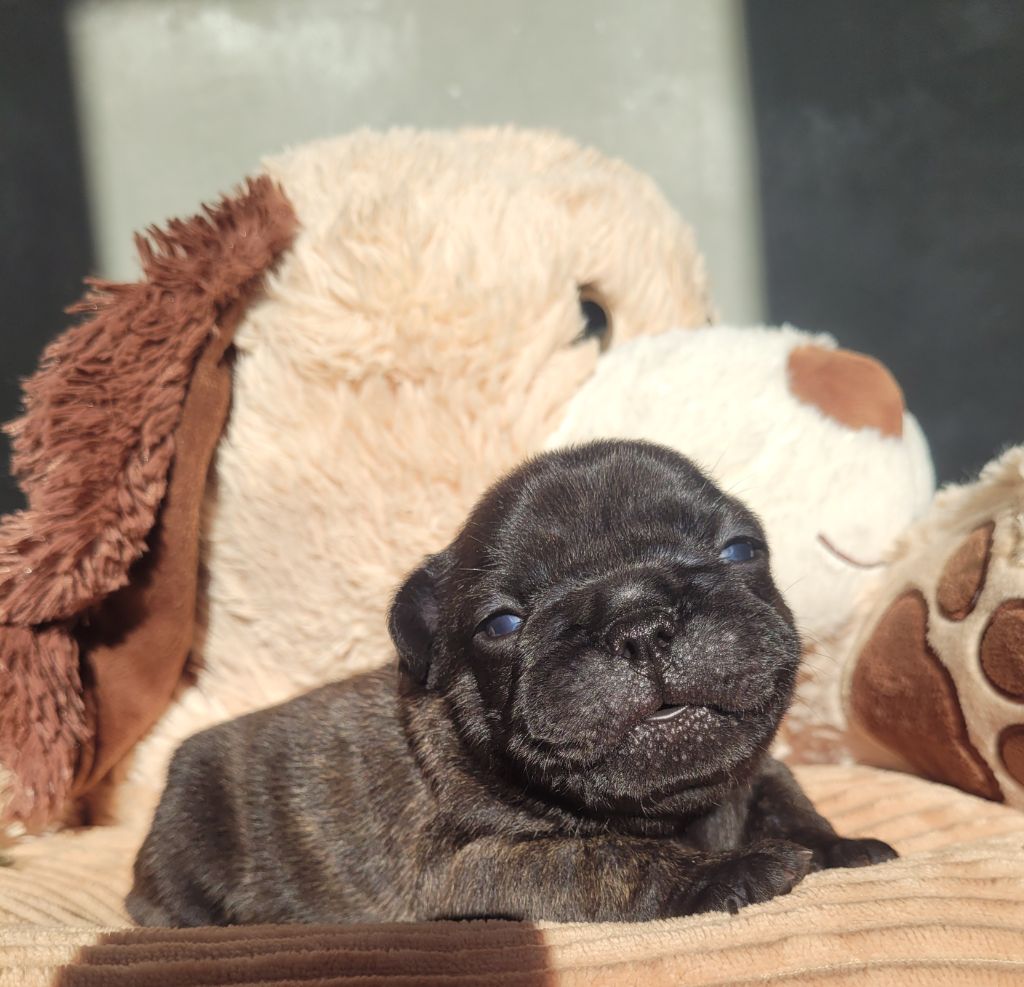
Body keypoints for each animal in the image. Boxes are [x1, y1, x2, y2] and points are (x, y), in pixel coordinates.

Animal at [127, 440, 896, 926]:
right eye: (501, 622)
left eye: (740, 550)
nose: (638, 616)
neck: (683, 810)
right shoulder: (472, 866)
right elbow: (603, 857)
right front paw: (726, 872)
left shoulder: (754, 769)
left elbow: (783, 791)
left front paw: (843, 845)